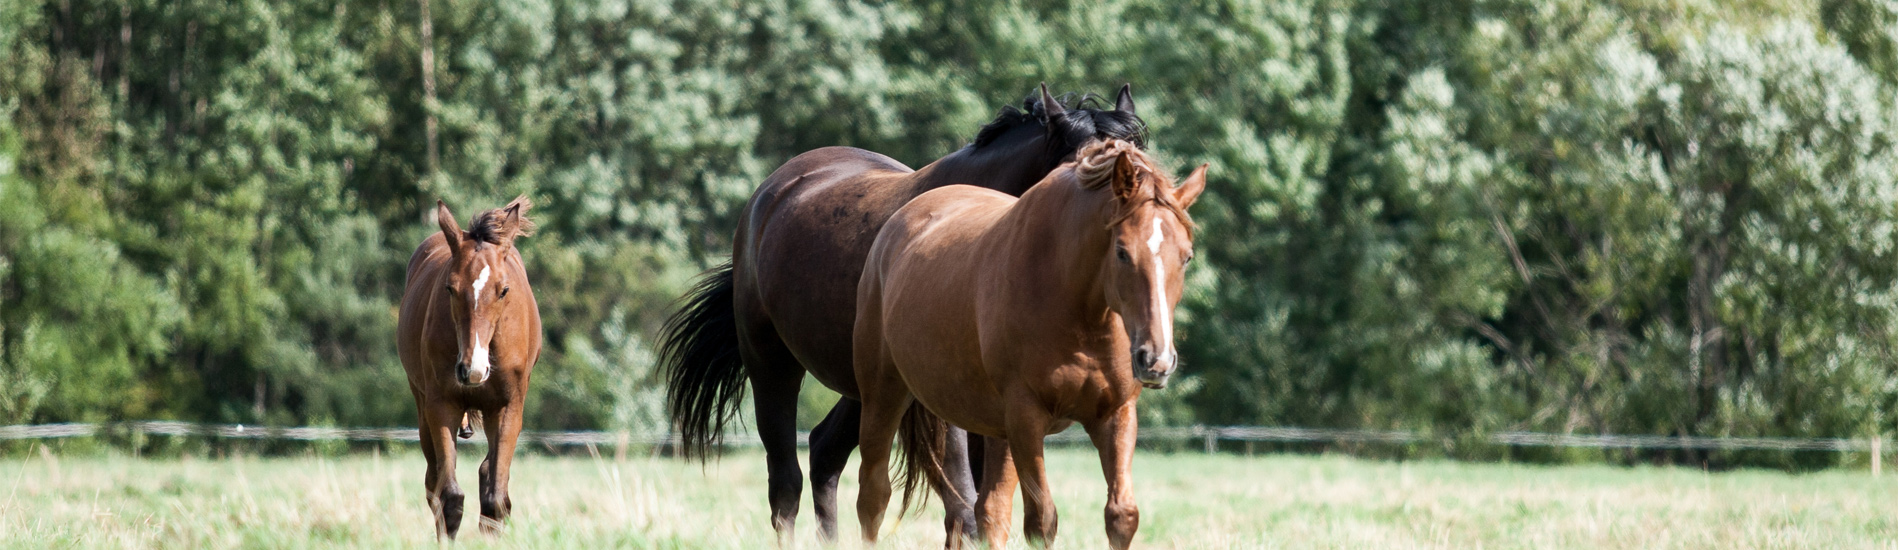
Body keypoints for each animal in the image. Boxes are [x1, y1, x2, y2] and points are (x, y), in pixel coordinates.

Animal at [393, 195, 543, 536]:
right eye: (450, 288)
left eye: (503, 289)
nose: (472, 370)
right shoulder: (441, 405)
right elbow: (449, 498)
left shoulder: (508, 407)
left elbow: (495, 500)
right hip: (422, 407)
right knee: (433, 484)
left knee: (489, 478)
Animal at [661, 83, 1147, 540]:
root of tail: (771, 192)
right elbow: (964, 504)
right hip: (772, 366)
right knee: (785, 483)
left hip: (866, 389)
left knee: (824, 454)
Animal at [858, 137, 1200, 548]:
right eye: (1122, 251)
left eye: (1186, 256)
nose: (1156, 360)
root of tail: (896, 225)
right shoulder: (1026, 417)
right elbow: (1042, 520)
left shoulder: (1116, 415)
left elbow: (1121, 515)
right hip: (884, 395)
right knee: (873, 496)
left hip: (997, 429)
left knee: (990, 512)